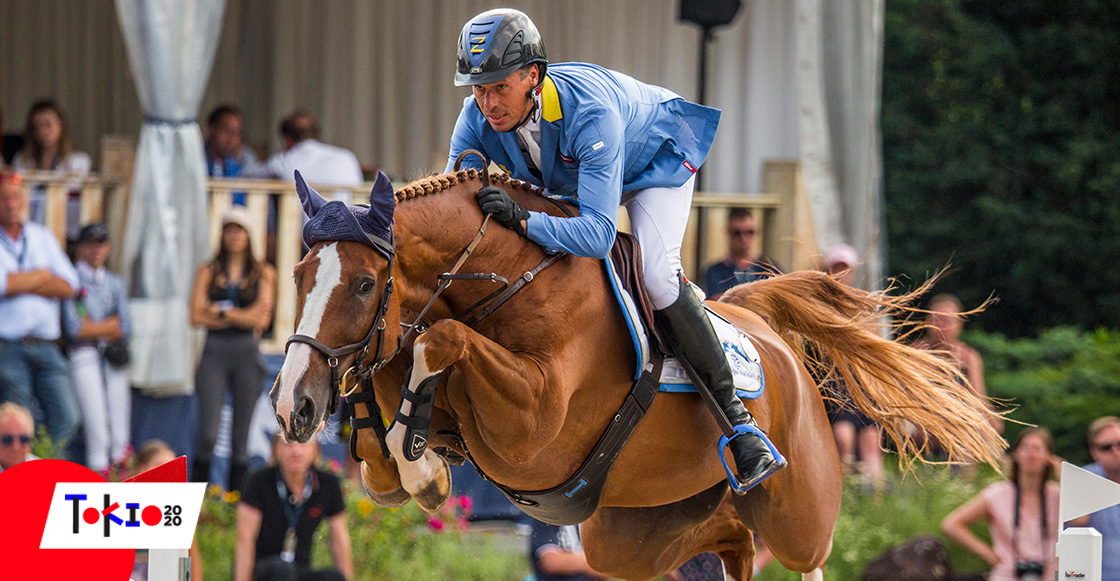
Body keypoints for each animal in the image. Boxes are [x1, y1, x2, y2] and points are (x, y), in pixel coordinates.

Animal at [271, 168, 1005, 580]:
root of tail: (762, 323)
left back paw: (752, 452)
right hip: (627, 536)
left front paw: (420, 463)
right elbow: (393, 385)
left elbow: (441, 341)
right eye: (299, 274)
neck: (508, 277)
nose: (291, 407)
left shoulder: (532, 423)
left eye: (364, 284)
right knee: (727, 538)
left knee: (804, 553)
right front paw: (405, 459)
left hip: (801, 513)